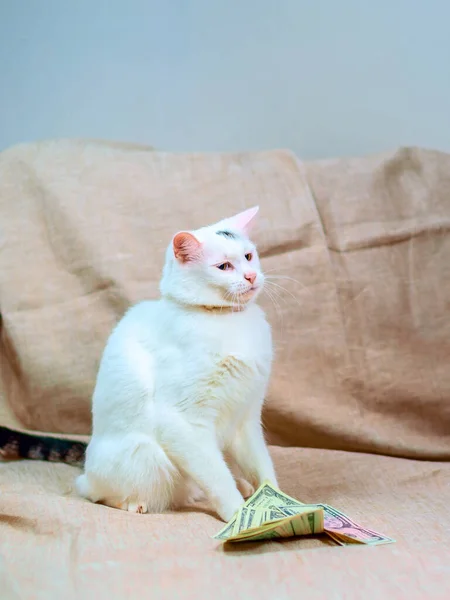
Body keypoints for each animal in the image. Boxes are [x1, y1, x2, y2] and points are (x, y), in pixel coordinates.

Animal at [75, 206, 276, 520]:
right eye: (223, 266)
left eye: (248, 256)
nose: (252, 275)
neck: (227, 320)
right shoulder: (182, 421)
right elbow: (217, 478)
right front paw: (239, 515)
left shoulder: (247, 417)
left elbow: (262, 465)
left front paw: (278, 501)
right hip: (146, 457)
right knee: (95, 492)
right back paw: (133, 503)